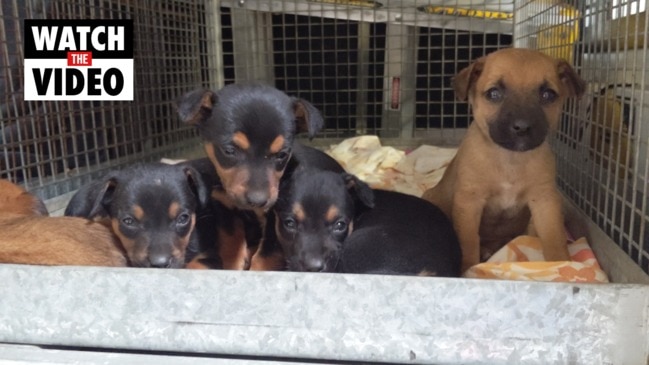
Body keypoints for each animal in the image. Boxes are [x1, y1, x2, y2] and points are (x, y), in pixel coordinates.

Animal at [175, 83, 342, 270]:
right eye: (229, 150)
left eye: (282, 154)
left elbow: (266, 256)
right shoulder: (224, 207)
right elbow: (230, 243)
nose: (258, 200)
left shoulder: (276, 220)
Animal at [422, 47, 584, 270]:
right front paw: (468, 269)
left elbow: (555, 237)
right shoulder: (470, 201)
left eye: (548, 95)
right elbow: (468, 241)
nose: (522, 127)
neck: (511, 159)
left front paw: (559, 264)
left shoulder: (545, 201)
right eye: (494, 94)